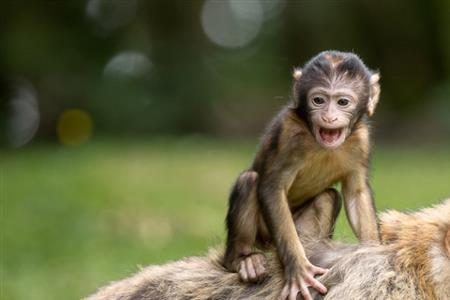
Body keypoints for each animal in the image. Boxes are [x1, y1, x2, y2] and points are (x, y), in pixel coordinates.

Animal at [223, 51, 382, 300]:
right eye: (319, 100)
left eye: (342, 102)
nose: (328, 117)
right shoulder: (289, 135)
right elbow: (272, 187)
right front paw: (297, 268)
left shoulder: (361, 141)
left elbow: (356, 193)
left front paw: (372, 255)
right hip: (264, 235)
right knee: (249, 181)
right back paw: (242, 260)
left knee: (328, 197)